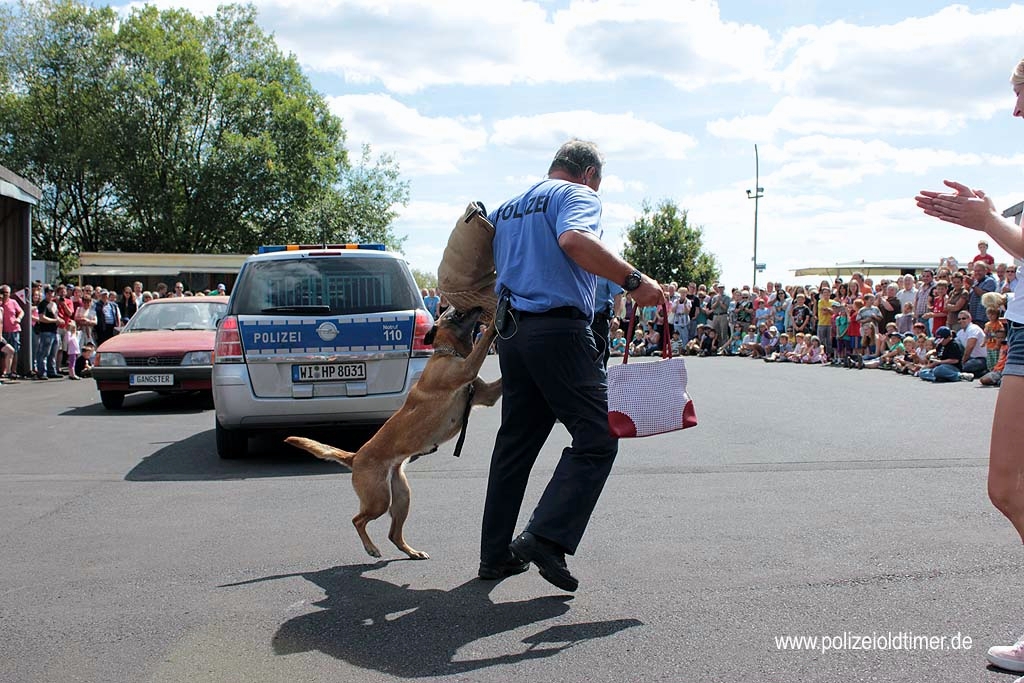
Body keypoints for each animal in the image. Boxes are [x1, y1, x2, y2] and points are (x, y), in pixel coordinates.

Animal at [284, 307, 499, 557]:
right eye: (453, 313)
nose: (476, 308)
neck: (449, 352)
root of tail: (355, 457)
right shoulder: (467, 369)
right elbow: (484, 343)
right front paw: (497, 320)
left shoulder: (488, 394)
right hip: (379, 500)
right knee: (357, 520)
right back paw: (371, 548)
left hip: (402, 496)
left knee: (393, 534)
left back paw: (412, 552)